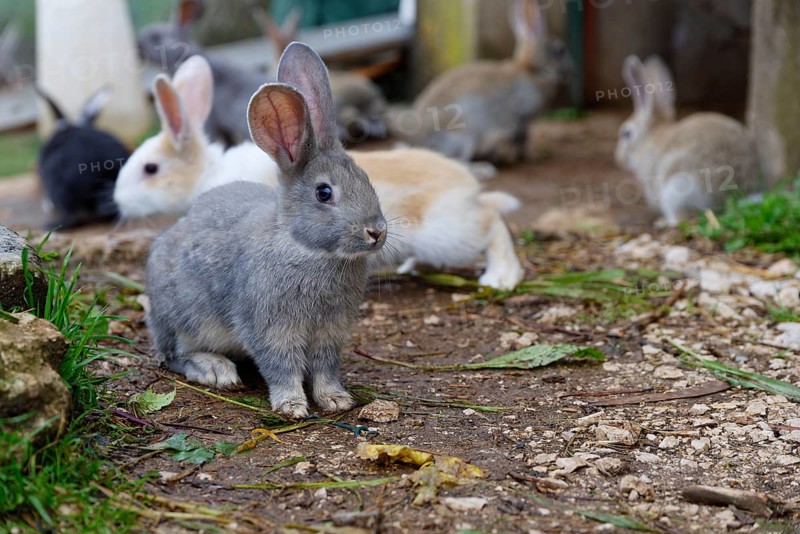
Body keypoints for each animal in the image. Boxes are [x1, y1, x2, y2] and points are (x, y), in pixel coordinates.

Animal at [145, 42, 386, 418]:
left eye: (366, 179)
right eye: (324, 193)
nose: (376, 232)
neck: (304, 246)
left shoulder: (330, 332)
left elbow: (324, 367)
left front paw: (336, 400)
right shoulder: (271, 328)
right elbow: (281, 367)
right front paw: (292, 406)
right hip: (185, 318)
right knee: (175, 355)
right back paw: (216, 370)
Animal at [403, 0, 570, 165]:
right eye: (560, 50)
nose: (570, 68)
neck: (532, 70)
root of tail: (414, 145)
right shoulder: (521, 119)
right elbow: (522, 140)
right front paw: (529, 156)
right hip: (463, 136)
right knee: (456, 161)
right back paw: (485, 167)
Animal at [614, 55, 761, 226]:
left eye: (626, 133)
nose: (618, 159)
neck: (649, 138)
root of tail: (731, 195)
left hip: (675, 189)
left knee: (680, 218)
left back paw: (663, 223)